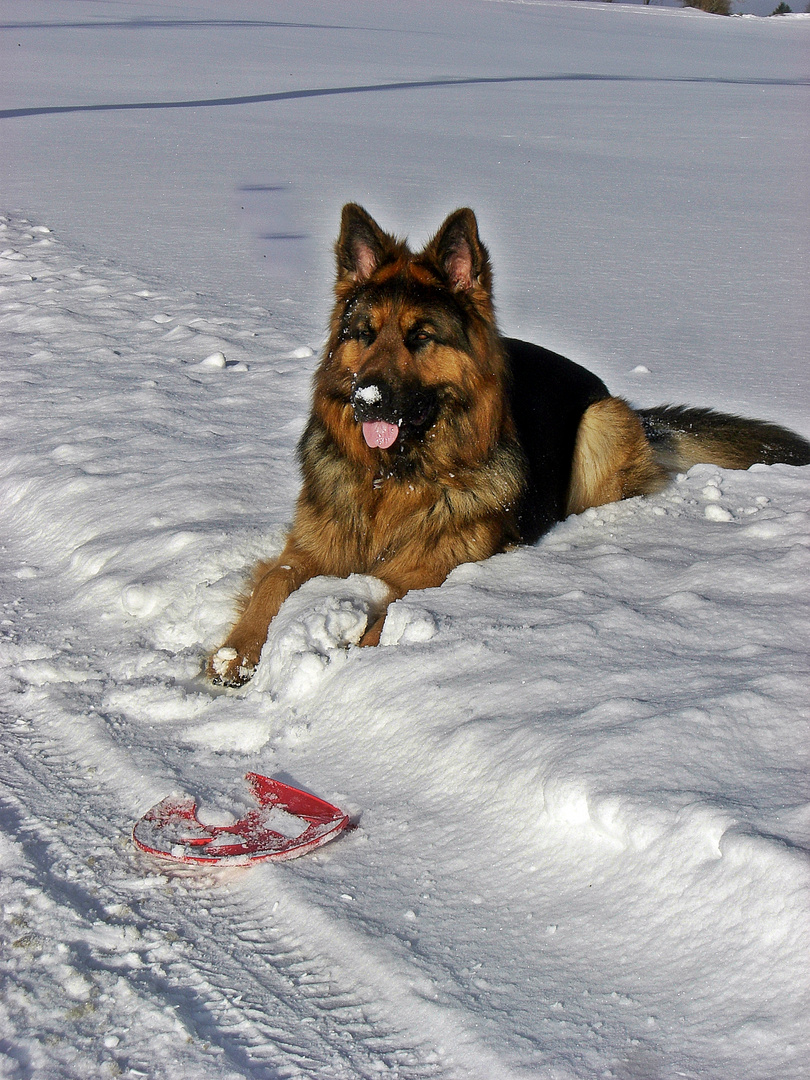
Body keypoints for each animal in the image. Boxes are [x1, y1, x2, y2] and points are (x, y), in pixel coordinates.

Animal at [210, 206, 810, 686]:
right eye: (364, 333)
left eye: (420, 337)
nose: (367, 401)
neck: (394, 475)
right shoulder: (310, 549)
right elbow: (271, 584)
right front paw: (232, 654)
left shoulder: (431, 568)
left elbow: (387, 613)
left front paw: (356, 660)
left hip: (602, 420)